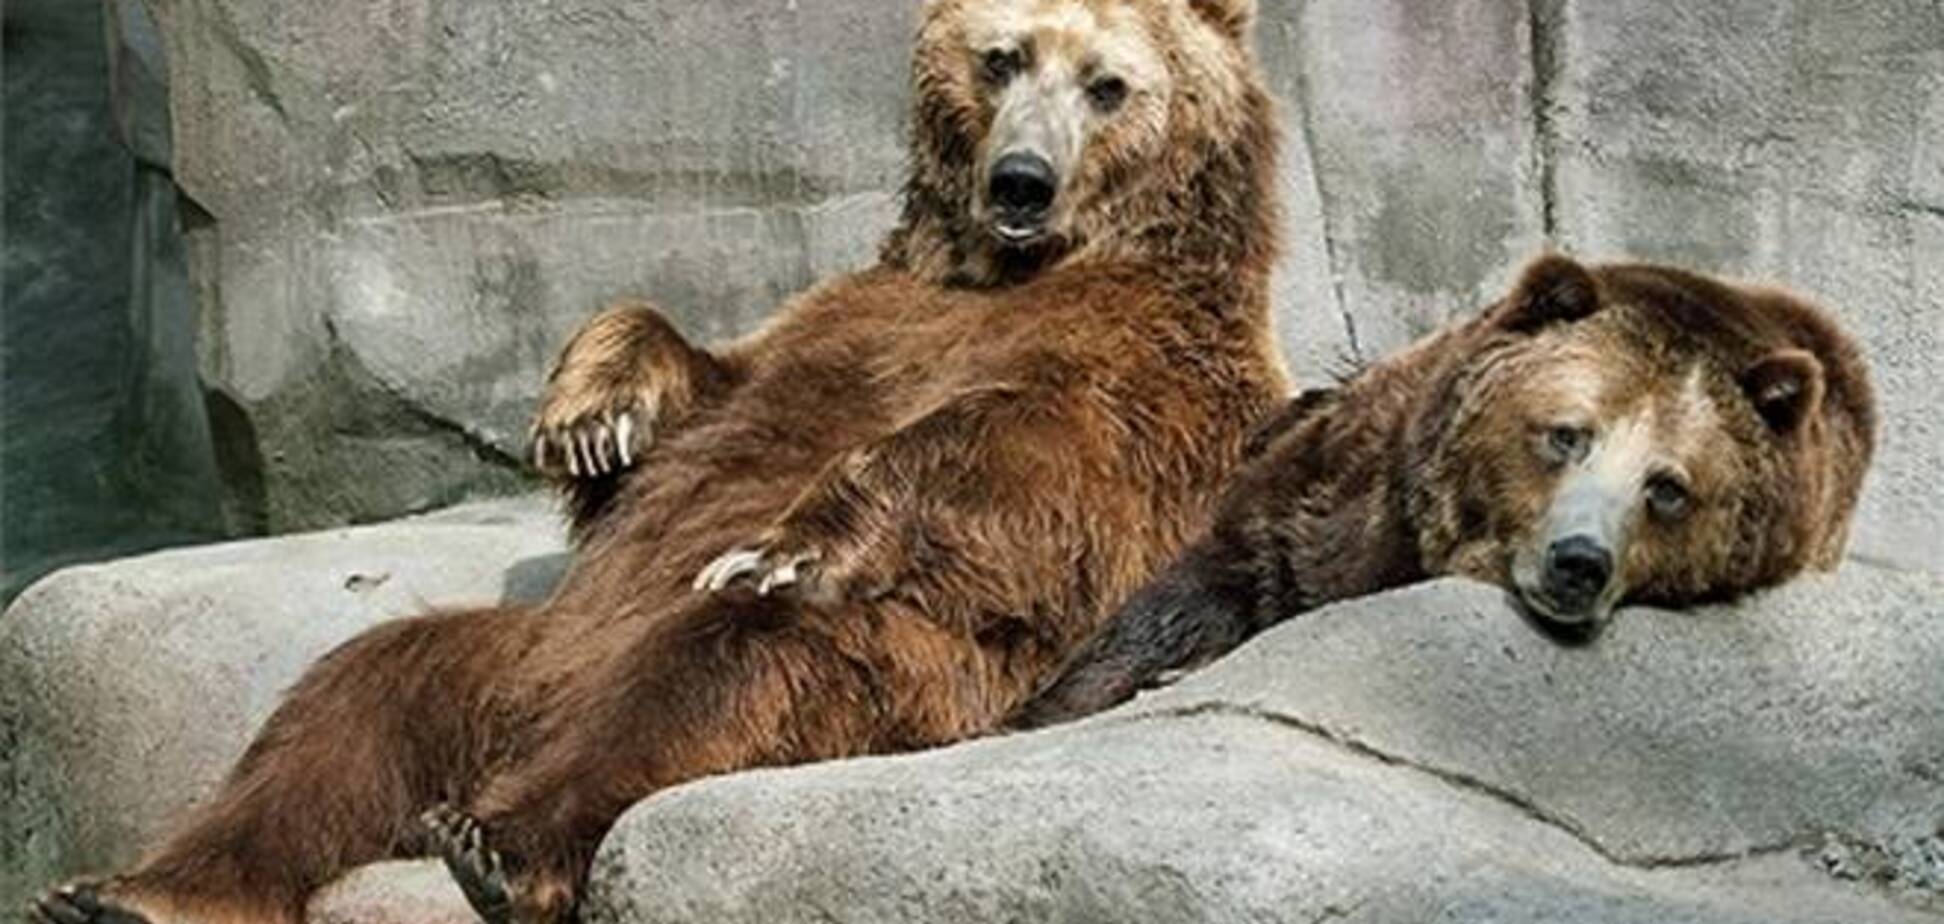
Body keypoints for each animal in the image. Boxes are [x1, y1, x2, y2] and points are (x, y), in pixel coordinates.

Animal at [32, 2, 1287, 923]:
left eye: (1108, 83)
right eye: (1002, 55)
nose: (1022, 179)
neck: (1008, 269)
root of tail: (518, 730)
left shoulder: (1157, 381)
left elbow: (1026, 462)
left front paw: (794, 536)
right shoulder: (853, 312)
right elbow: (702, 399)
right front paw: (592, 414)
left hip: (904, 670)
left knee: (712, 669)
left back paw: (495, 843)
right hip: (519, 652)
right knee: (346, 703)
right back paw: (134, 891)